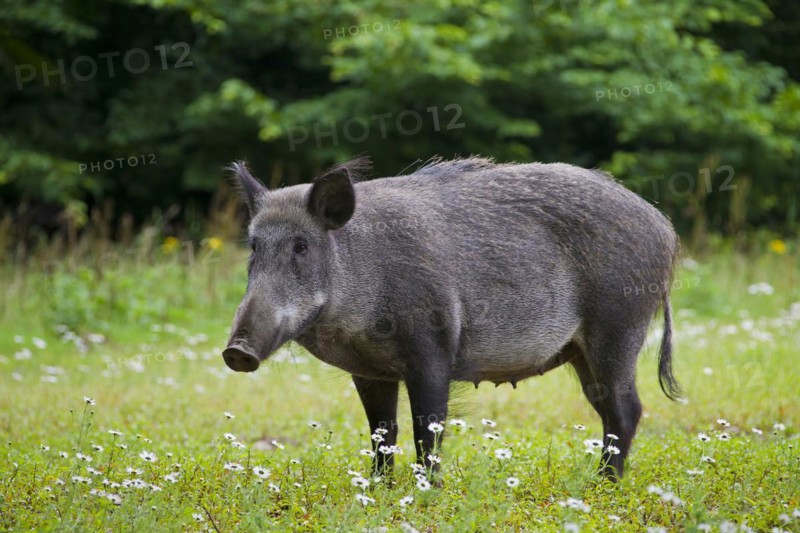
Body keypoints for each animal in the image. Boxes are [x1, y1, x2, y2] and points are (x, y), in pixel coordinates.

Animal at [222, 157, 680, 480]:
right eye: (254, 247)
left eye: (301, 246)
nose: (236, 351)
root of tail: (665, 229)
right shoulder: (369, 370)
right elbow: (382, 431)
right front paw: (378, 488)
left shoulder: (432, 349)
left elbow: (427, 431)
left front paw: (426, 491)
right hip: (583, 350)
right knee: (608, 410)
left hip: (619, 325)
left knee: (627, 409)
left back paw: (602, 485)